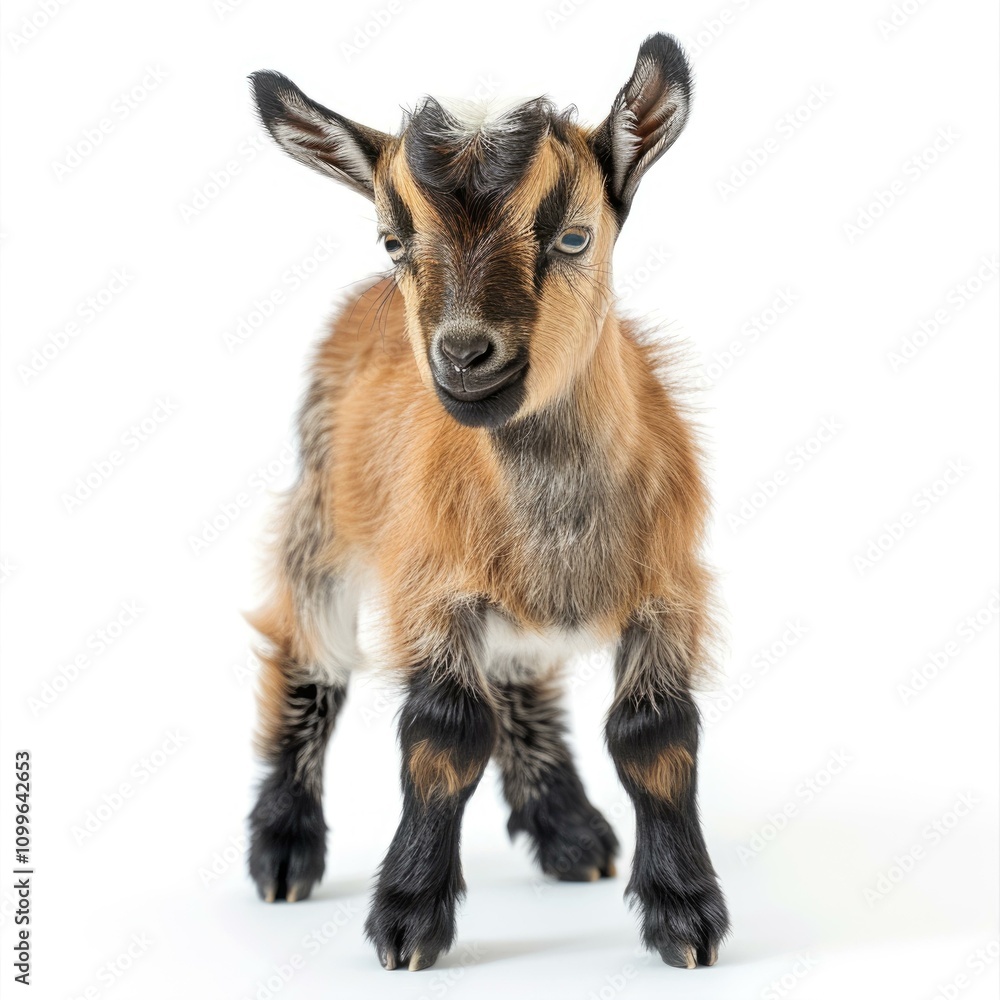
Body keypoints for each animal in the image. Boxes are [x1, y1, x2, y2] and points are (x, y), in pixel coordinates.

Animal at [246, 33, 729, 972]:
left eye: (574, 236)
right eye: (394, 239)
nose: (466, 355)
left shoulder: (669, 587)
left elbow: (655, 735)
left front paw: (685, 915)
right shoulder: (429, 586)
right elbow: (444, 732)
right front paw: (407, 918)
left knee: (518, 677)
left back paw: (569, 830)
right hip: (324, 513)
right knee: (310, 652)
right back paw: (283, 848)